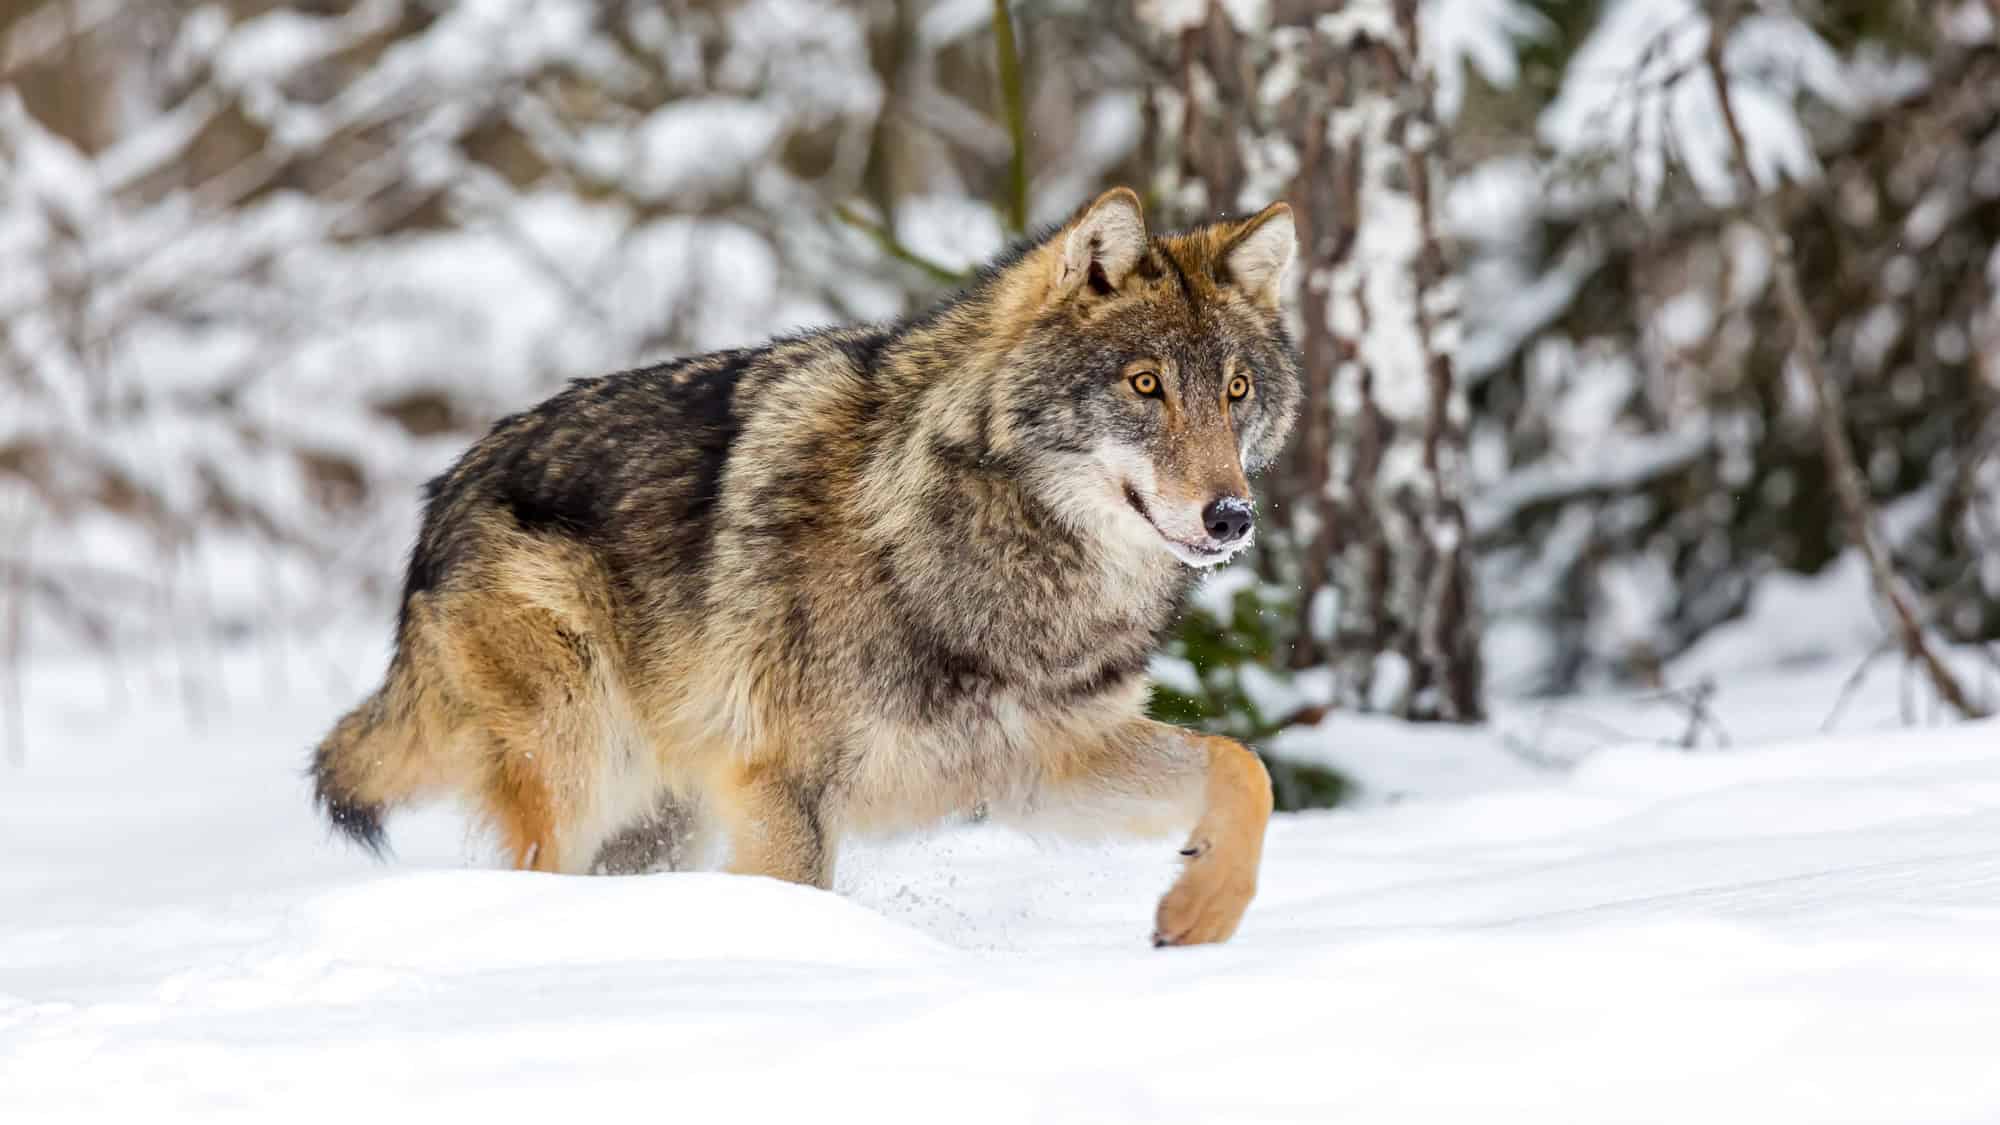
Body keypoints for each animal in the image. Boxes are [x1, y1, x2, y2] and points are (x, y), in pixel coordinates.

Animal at [310, 188, 1300, 945]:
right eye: (1145, 384)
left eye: (1236, 390)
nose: (1231, 516)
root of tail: (443, 495)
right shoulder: (784, 787)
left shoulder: (1042, 766)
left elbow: (1245, 765)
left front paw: (1205, 910)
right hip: (579, 764)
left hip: (658, 818)